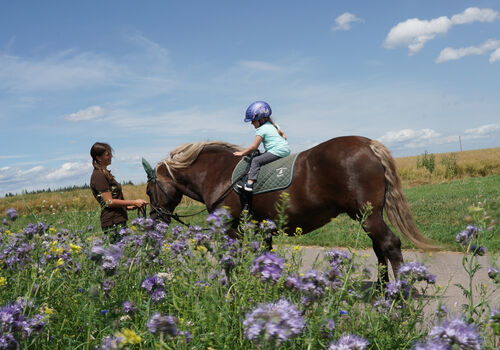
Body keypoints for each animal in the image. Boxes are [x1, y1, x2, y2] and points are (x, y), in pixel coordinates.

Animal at [145, 135, 434, 284]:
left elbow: (233, 261)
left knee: (390, 245)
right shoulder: (261, 229)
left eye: (149, 191)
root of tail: (368, 143)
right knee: (379, 248)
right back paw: (383, 291)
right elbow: (265, 258)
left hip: (369, 217)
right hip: (366, 216)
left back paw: (399, 297)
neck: (219, 173)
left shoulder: (232, 229)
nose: (156, 220)